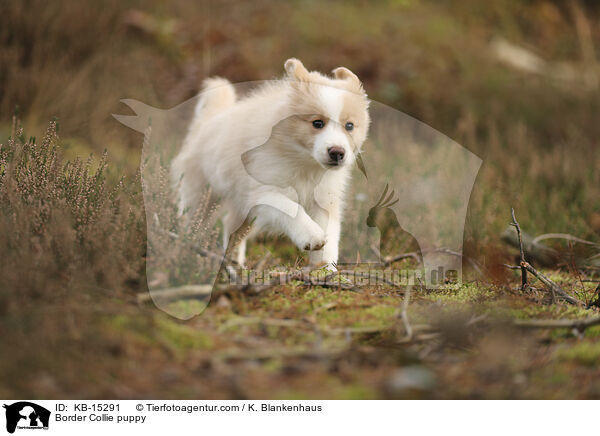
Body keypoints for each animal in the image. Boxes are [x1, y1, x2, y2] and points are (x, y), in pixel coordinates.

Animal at [171, 58, 370, 270]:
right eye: (317, 123)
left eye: (349, 126)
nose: (337, 152)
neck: (304, 163)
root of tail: (207, 120)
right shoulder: (264, 191)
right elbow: (291, 208)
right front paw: (312, 236)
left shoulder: (324, 199)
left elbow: (330, 237)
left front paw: (326, 269)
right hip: (201, 194)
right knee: (191, 222)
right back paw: (184, 251)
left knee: (231, 227)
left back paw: (234, 263)